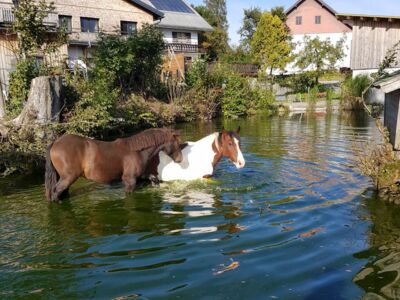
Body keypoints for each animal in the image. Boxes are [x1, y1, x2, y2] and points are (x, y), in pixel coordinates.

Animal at [45, 127, 183, 202]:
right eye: (176, 143)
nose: (180, 159)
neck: (137, 151)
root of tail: (55, 142)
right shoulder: (129, 180)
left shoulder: (140, 175)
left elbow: (153, 177)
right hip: (68, 177)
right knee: (55, 191)